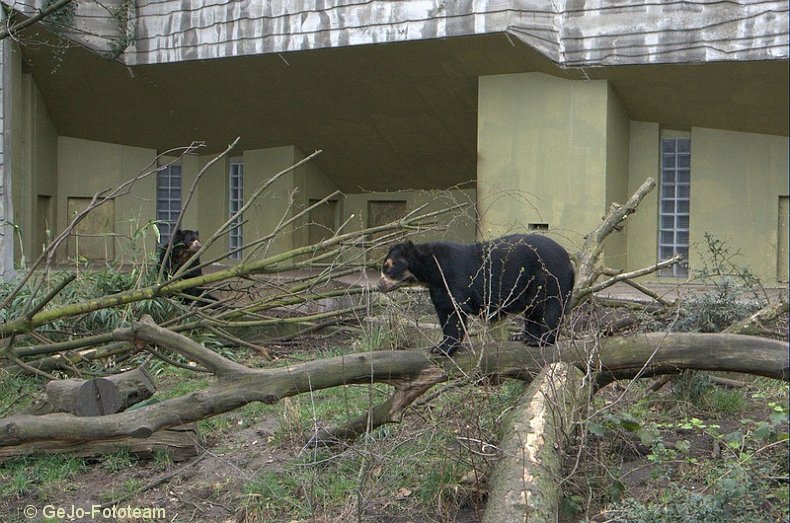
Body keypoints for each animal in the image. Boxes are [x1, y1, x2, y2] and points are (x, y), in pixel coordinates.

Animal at [378, 235, 576, 358]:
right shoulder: (437, 287)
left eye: (388, 267)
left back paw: (540, 340)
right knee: (534, 309)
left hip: (551, 277)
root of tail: (569, 260)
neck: (430, 272)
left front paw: (442, 348)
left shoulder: (451, 276)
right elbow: (444, 309)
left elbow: (453, 311)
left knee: (551, 306)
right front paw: (441, 345)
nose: (379, 285)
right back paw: (523, 337)